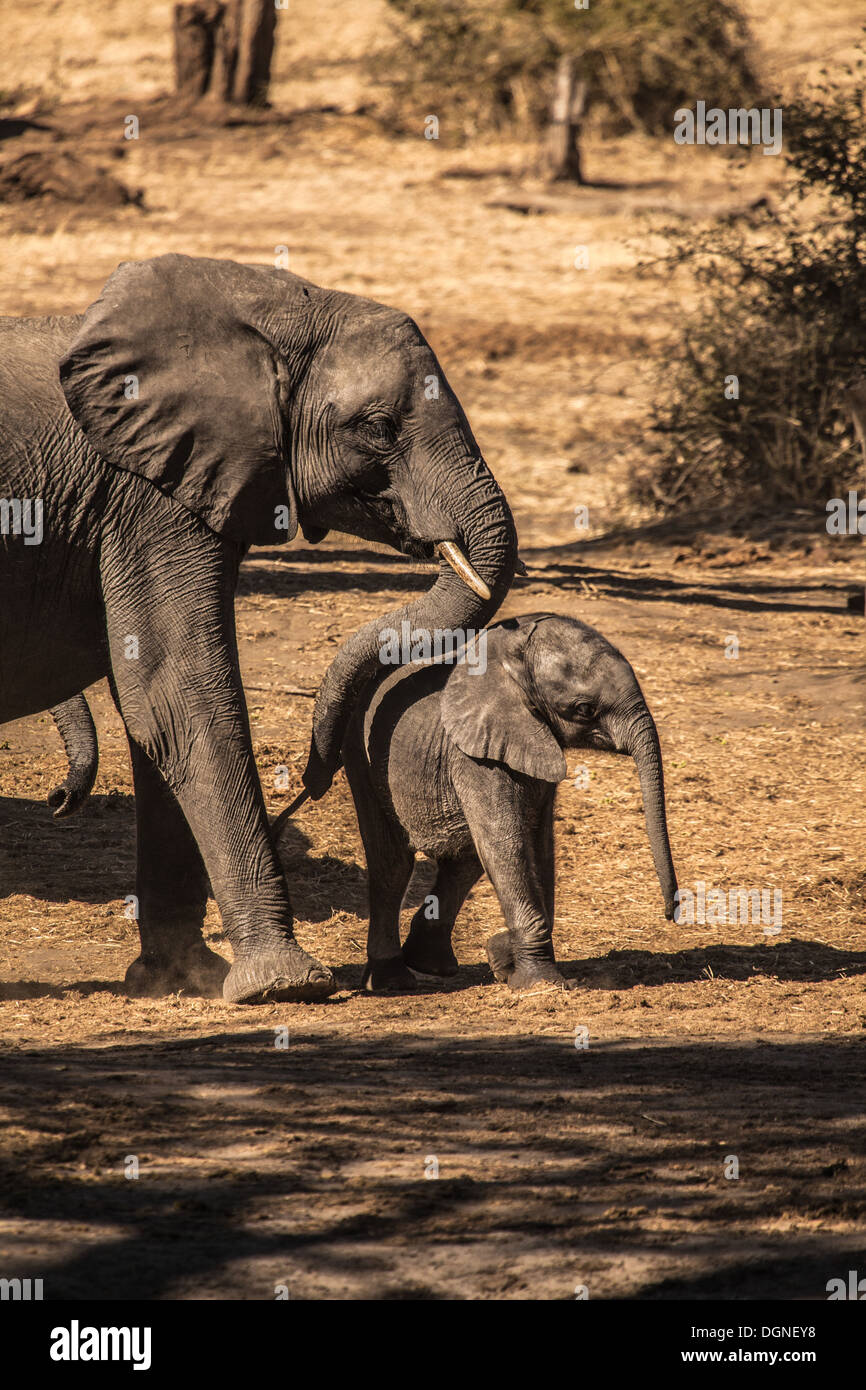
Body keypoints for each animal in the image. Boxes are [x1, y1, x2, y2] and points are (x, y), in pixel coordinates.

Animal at [0, 253, 518, 1004]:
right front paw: (284, 986)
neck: (273, 307)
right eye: (378, 427)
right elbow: (179, 692)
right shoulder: (147, 500)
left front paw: (186, 979)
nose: (315, 774)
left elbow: (154, 704)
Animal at [316, 612, 677, 993]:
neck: (509, 658)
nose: (669, 913)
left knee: (466, 857)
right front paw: (540, 983)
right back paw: (393, 980)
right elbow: (508, 842)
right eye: (584, 709)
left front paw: (504, 961)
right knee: (393, 864)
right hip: (360, 752)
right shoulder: (473, 756)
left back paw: (431, 964)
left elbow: (538, 843)